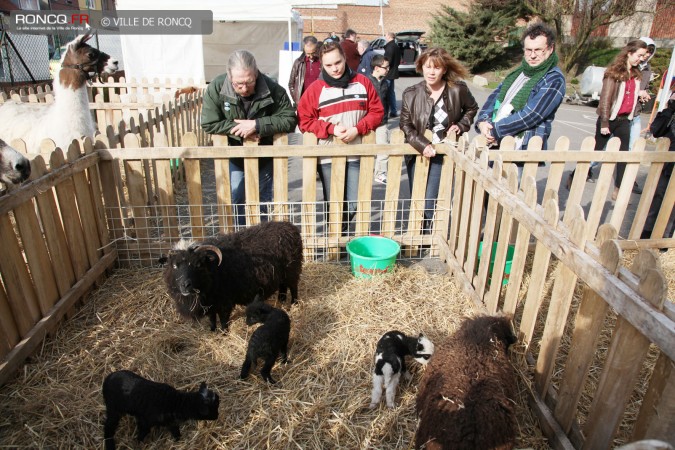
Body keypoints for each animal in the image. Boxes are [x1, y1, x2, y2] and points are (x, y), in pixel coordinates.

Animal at [157, 221, 302, 330]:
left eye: (198, 265)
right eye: (174, 266)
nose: (185, 285)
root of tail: (290, 226)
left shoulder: (225, 301)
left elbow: (223, 319)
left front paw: (224, 332)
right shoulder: (211, 303)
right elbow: (212, 318)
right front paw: (212, 330)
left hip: (292, 269)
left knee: (293, 287)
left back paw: (294, 304)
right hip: (282, 274)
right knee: (283, 287)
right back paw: (281, 301)